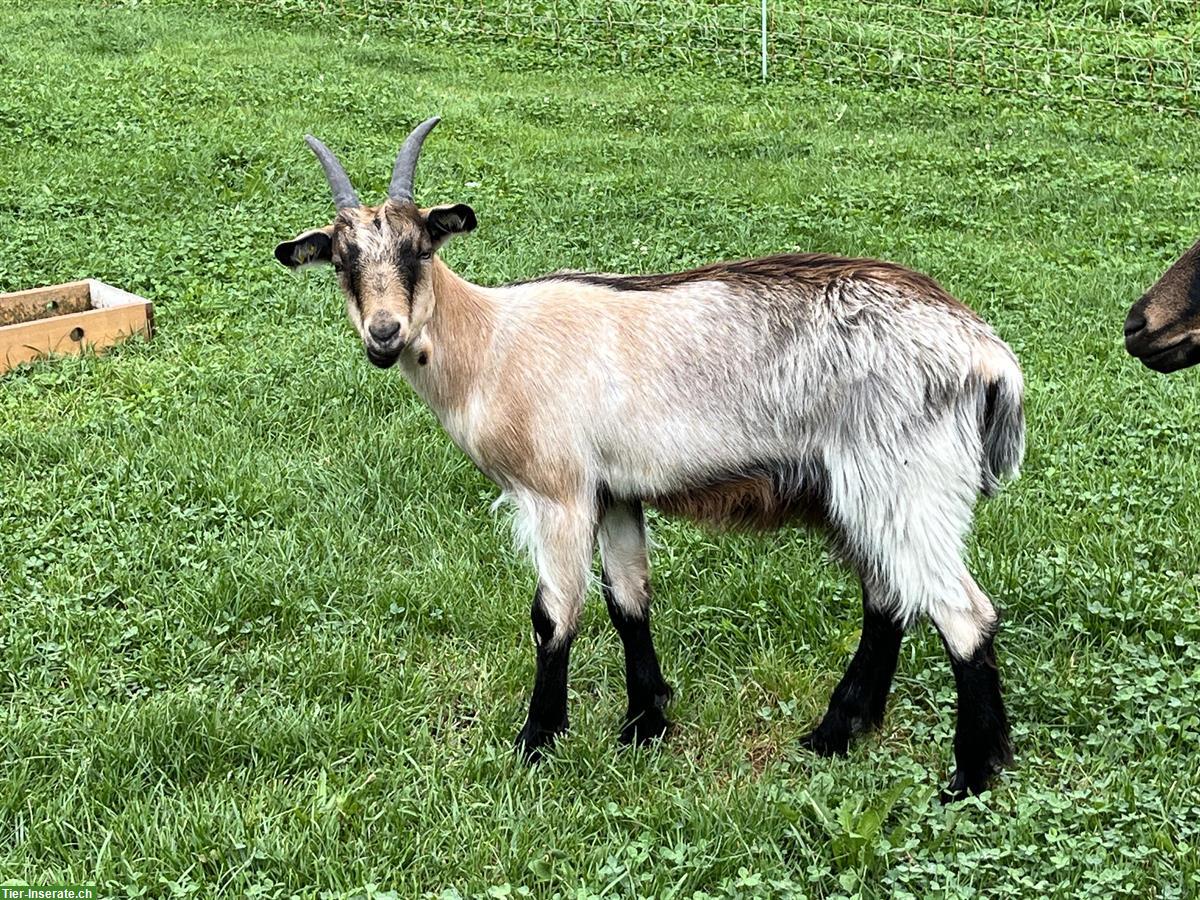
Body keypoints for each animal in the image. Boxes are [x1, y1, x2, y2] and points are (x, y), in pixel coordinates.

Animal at [276, 116, 1027, 801]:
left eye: (419, 249)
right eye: (342, 260)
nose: (385, 333)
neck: (491, 343)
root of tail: (981, 349)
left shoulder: (559, 491)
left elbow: (554, 615)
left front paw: (537, 741)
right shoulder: (615, 492)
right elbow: (628, 598)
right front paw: (645, 722)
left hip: (905, 481)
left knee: (962, 613)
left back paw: (969, 776)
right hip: (859, 492)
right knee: (888, 599)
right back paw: (835, 734)